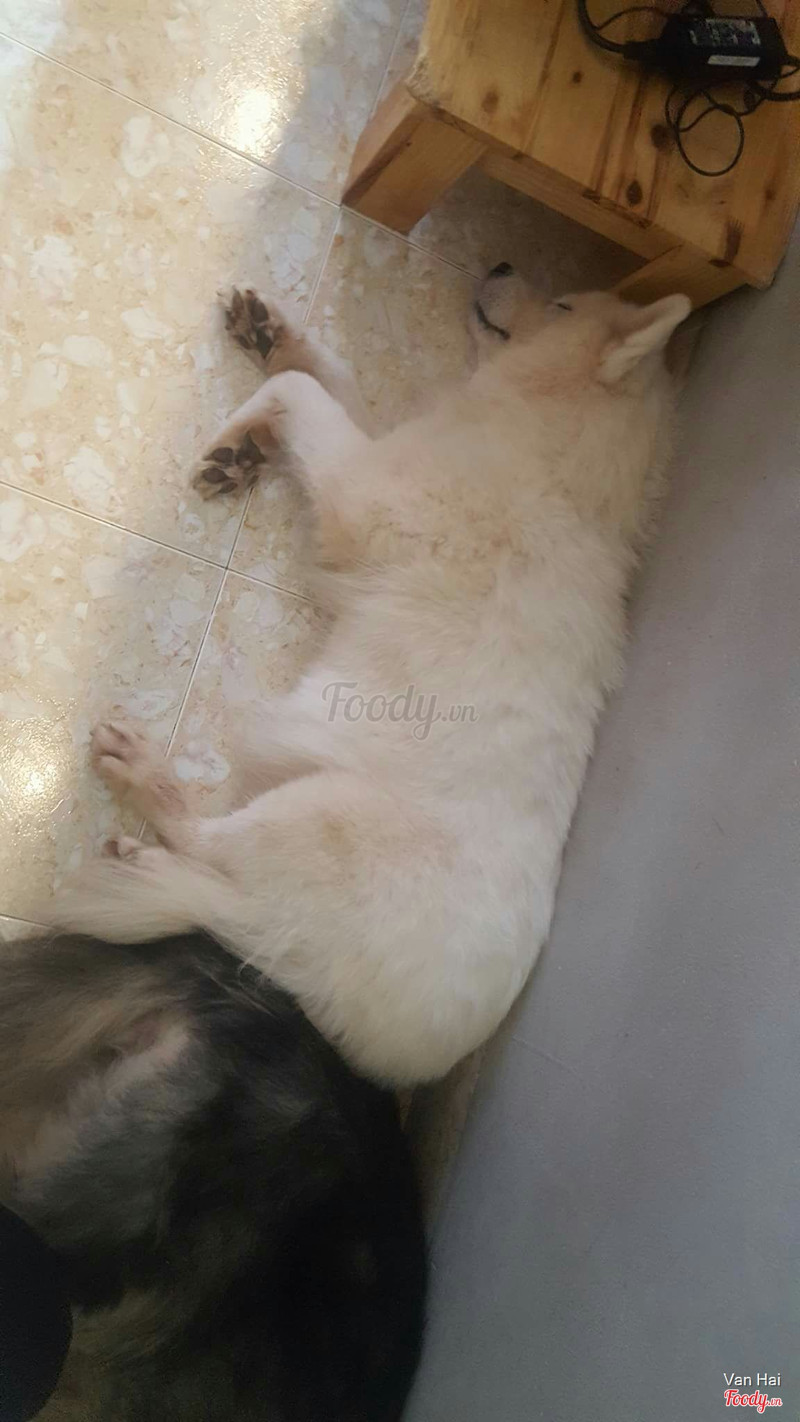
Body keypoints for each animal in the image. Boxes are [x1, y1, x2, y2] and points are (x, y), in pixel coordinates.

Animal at [54, 270, 691, 1086]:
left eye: (563, 305)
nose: (501, 266)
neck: (566, 460)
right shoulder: (372, 444)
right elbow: (326, 374)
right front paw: (269, 340)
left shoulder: (357, 484)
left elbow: (295, 392)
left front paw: (234, 433)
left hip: (316, 810)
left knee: (204, 841)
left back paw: (142, 783)